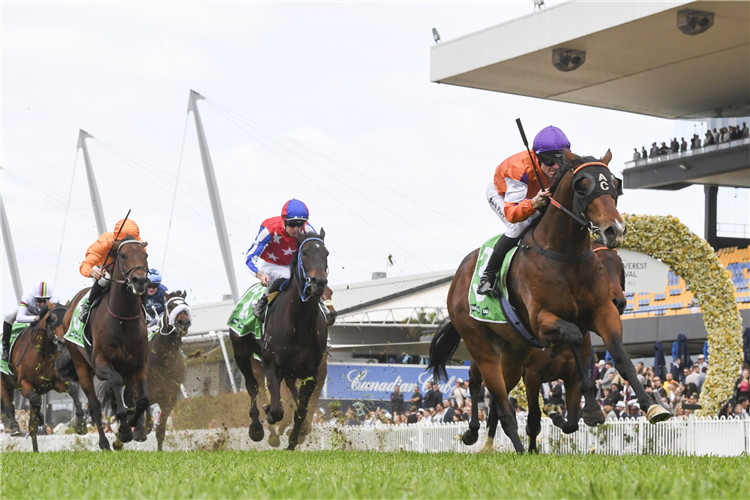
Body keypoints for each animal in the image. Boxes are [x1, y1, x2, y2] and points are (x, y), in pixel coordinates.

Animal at [1, 302, 87, 452]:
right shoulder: (23, 383)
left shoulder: (54, 383)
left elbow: (73, 391)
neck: (41, 353)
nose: (62, 342)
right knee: (7, 404)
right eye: (51, 319)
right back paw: (16, 428)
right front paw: (40, 417)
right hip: (4, 381)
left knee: (31, 426)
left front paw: (81, 424)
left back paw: (36, 449)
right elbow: (34, 401)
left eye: (66, 319)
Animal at [61, 236, 151, 452]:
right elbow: (115, 383)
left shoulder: (139, 364)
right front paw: (124, 430)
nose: (140, 281)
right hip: (82, 365)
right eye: (123, 255)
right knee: (94, 406)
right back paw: (104, 443)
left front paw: (131, 427)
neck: (123, 319)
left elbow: (142, 399)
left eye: (145, 256)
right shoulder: (101, 363)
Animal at [428, 147, 668, 454]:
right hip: (480, 345)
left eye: (615, 184)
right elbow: (574, 336)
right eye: (582, 186)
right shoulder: (541, 325)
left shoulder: (602, 313)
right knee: (495, 398)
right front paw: (591, 406)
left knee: (497, 398)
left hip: (513, 353)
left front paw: (652, 406)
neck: (565, 256)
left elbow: (621, 358)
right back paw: (508, 447)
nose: (613, 229)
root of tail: (458, 278)